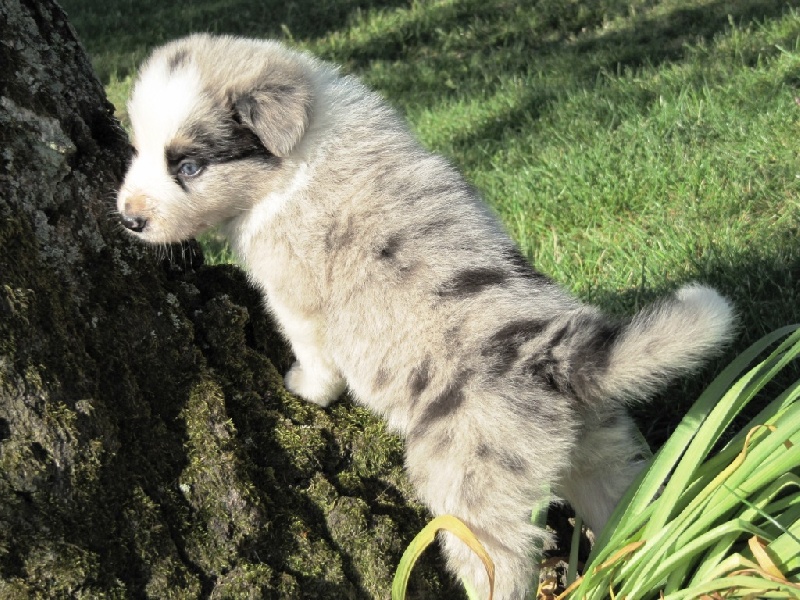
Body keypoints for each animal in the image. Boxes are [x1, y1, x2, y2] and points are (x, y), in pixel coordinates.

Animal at [117, 34, 735, 599]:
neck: (298, 154)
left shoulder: (293, 294)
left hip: (469, 491)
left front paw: (304, 388)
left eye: (189, 165)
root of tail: (551, 352)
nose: (127, 219)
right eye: (138, 151)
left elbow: (311, 351)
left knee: (500, 562)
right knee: (633, 507)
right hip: (603, 449)